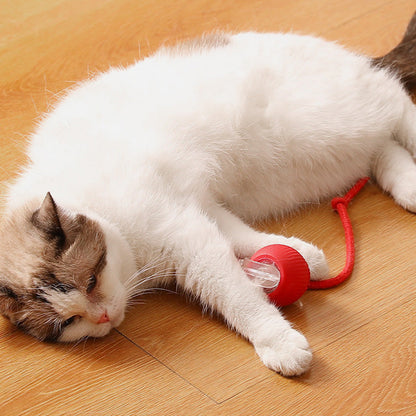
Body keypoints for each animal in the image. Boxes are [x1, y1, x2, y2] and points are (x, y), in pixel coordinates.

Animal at [0, 13, 416, 376]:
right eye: (70, 322)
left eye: (91, 282)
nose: (103, 316)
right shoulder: (199, 209)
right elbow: (247, 238)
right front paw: (306, 259)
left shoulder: (190, 241)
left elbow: (238, 298)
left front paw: (279, 344)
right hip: (339, 151)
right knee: (381, 150)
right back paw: (410, 186)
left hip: (332, 123)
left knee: (399, 104)